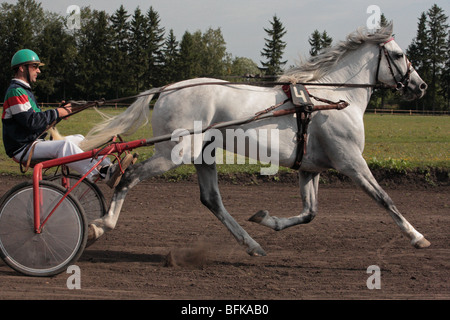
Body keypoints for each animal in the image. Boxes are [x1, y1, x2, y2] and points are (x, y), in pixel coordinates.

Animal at [82, 23, 430, 256]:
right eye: (399, 54)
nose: (421, 85)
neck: (332, 99)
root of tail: (167, 88)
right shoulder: (351, 162)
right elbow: (385, 199)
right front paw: (417, 236)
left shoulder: (310, 168)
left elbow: (310, 213)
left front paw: (265, 219)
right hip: (174, 153)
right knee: (129, 176)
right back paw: (101, 225)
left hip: (203, 155)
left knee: (211, 200)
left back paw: (252, 245)